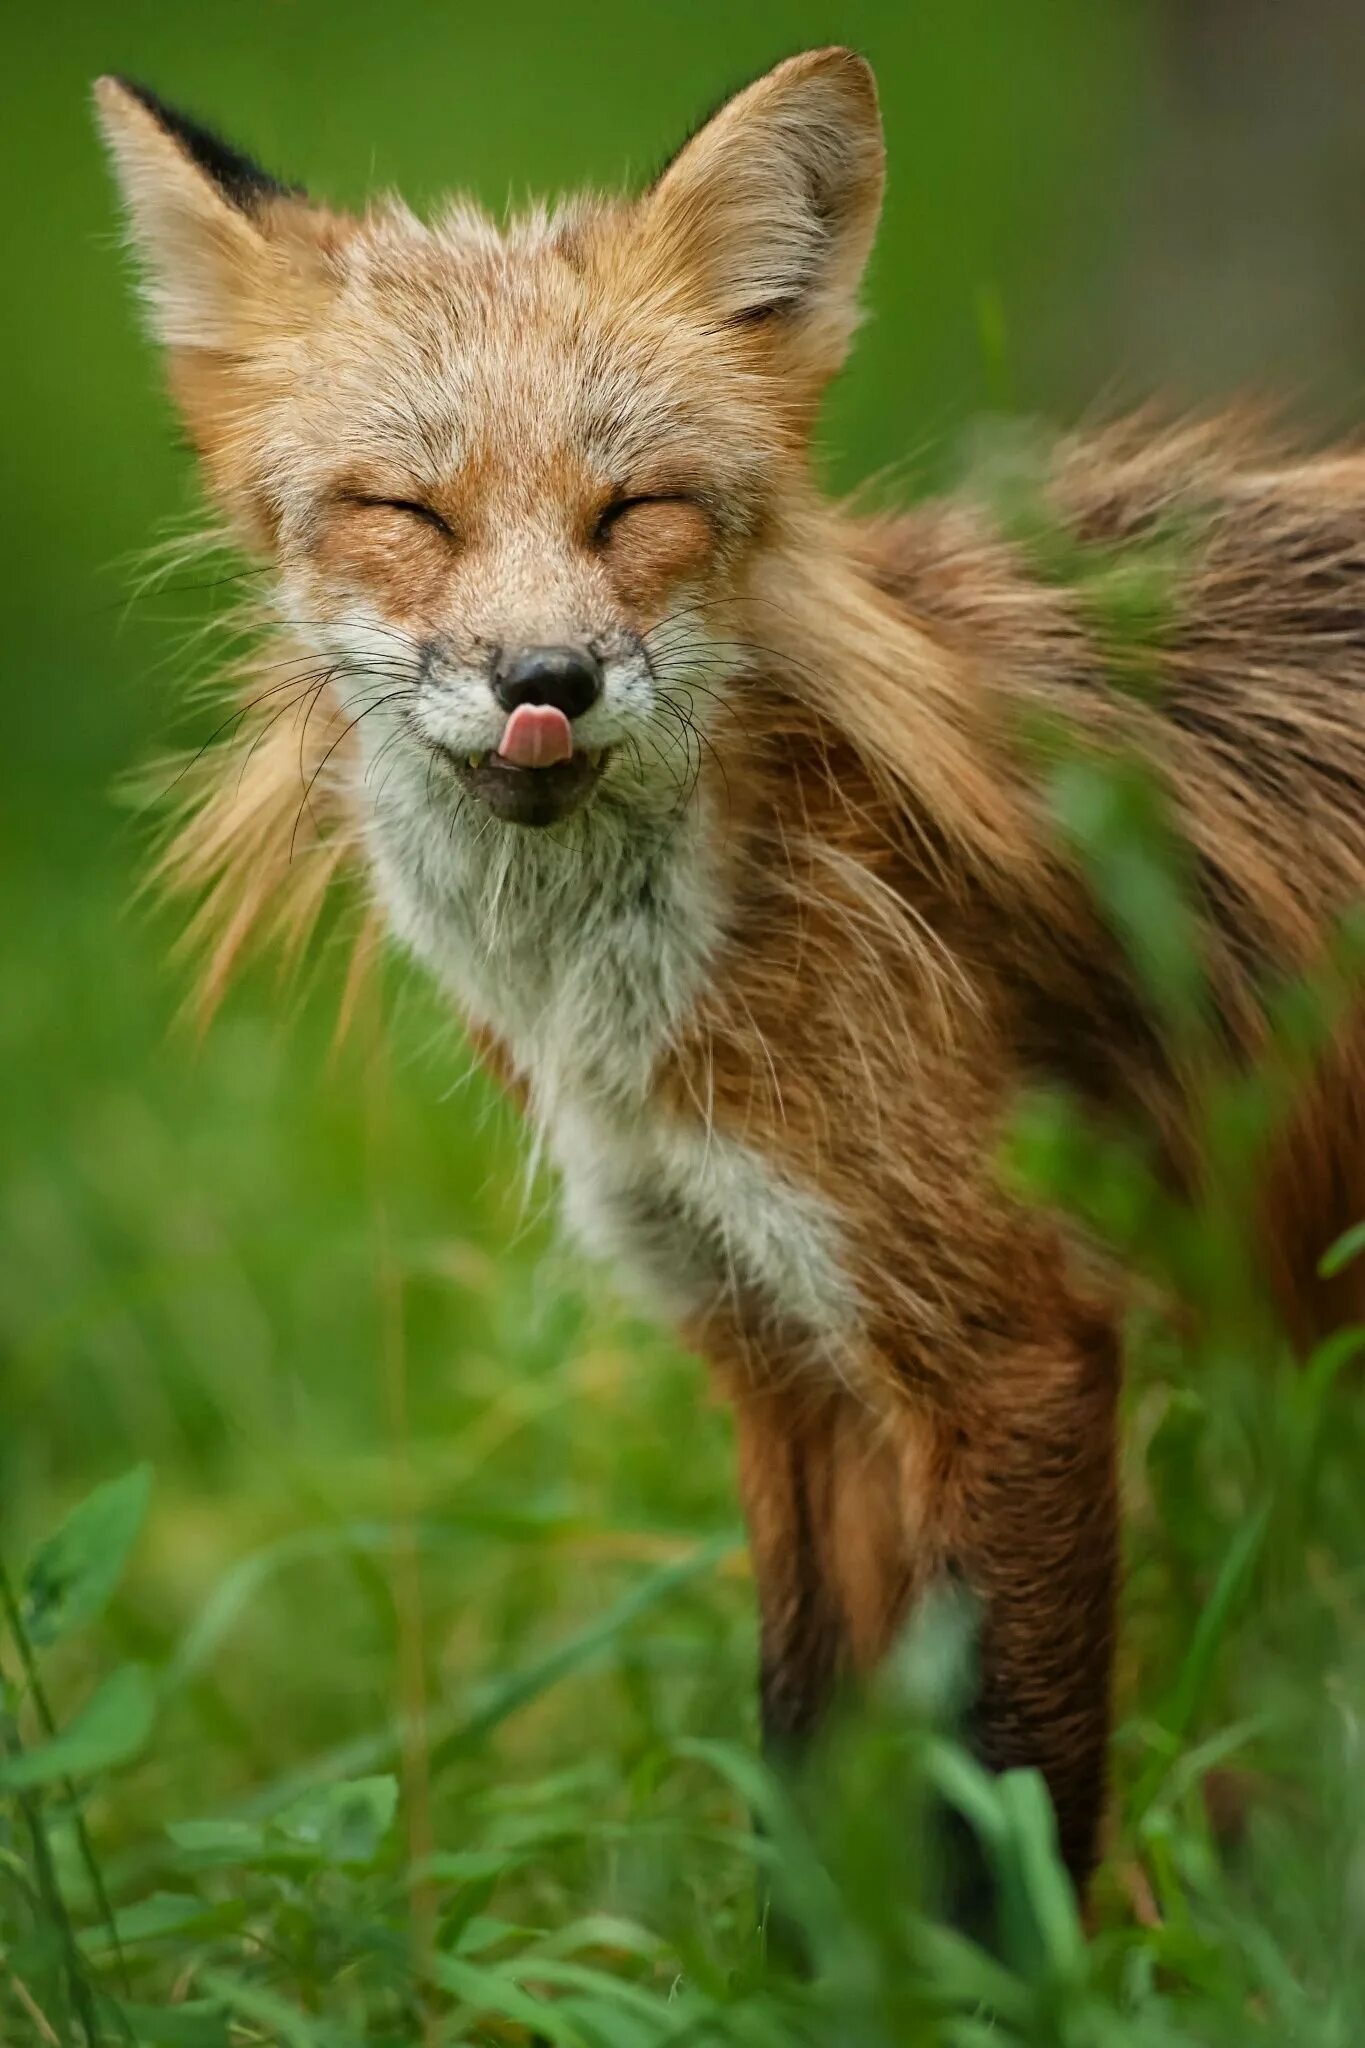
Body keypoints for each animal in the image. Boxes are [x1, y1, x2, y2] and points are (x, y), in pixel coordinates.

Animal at [96, 51, 1365, 1916]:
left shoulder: (1010, 1337)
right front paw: (804, 1959)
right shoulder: (770, 1342)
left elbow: (1003, 1798)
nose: (546, 680)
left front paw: (1018, 1972)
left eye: (639, 510)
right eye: (407, 512)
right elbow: (806, 1758)